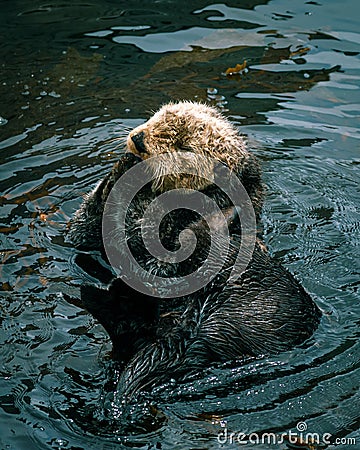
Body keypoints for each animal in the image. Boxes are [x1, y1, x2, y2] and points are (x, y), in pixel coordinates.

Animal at [67, 100, 320, 400]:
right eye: (158, 117)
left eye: (184, 146)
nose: (139, 140)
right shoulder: (91, 240)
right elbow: (82, 234)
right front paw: (123, 168)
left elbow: (156, 256)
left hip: (260, 310)